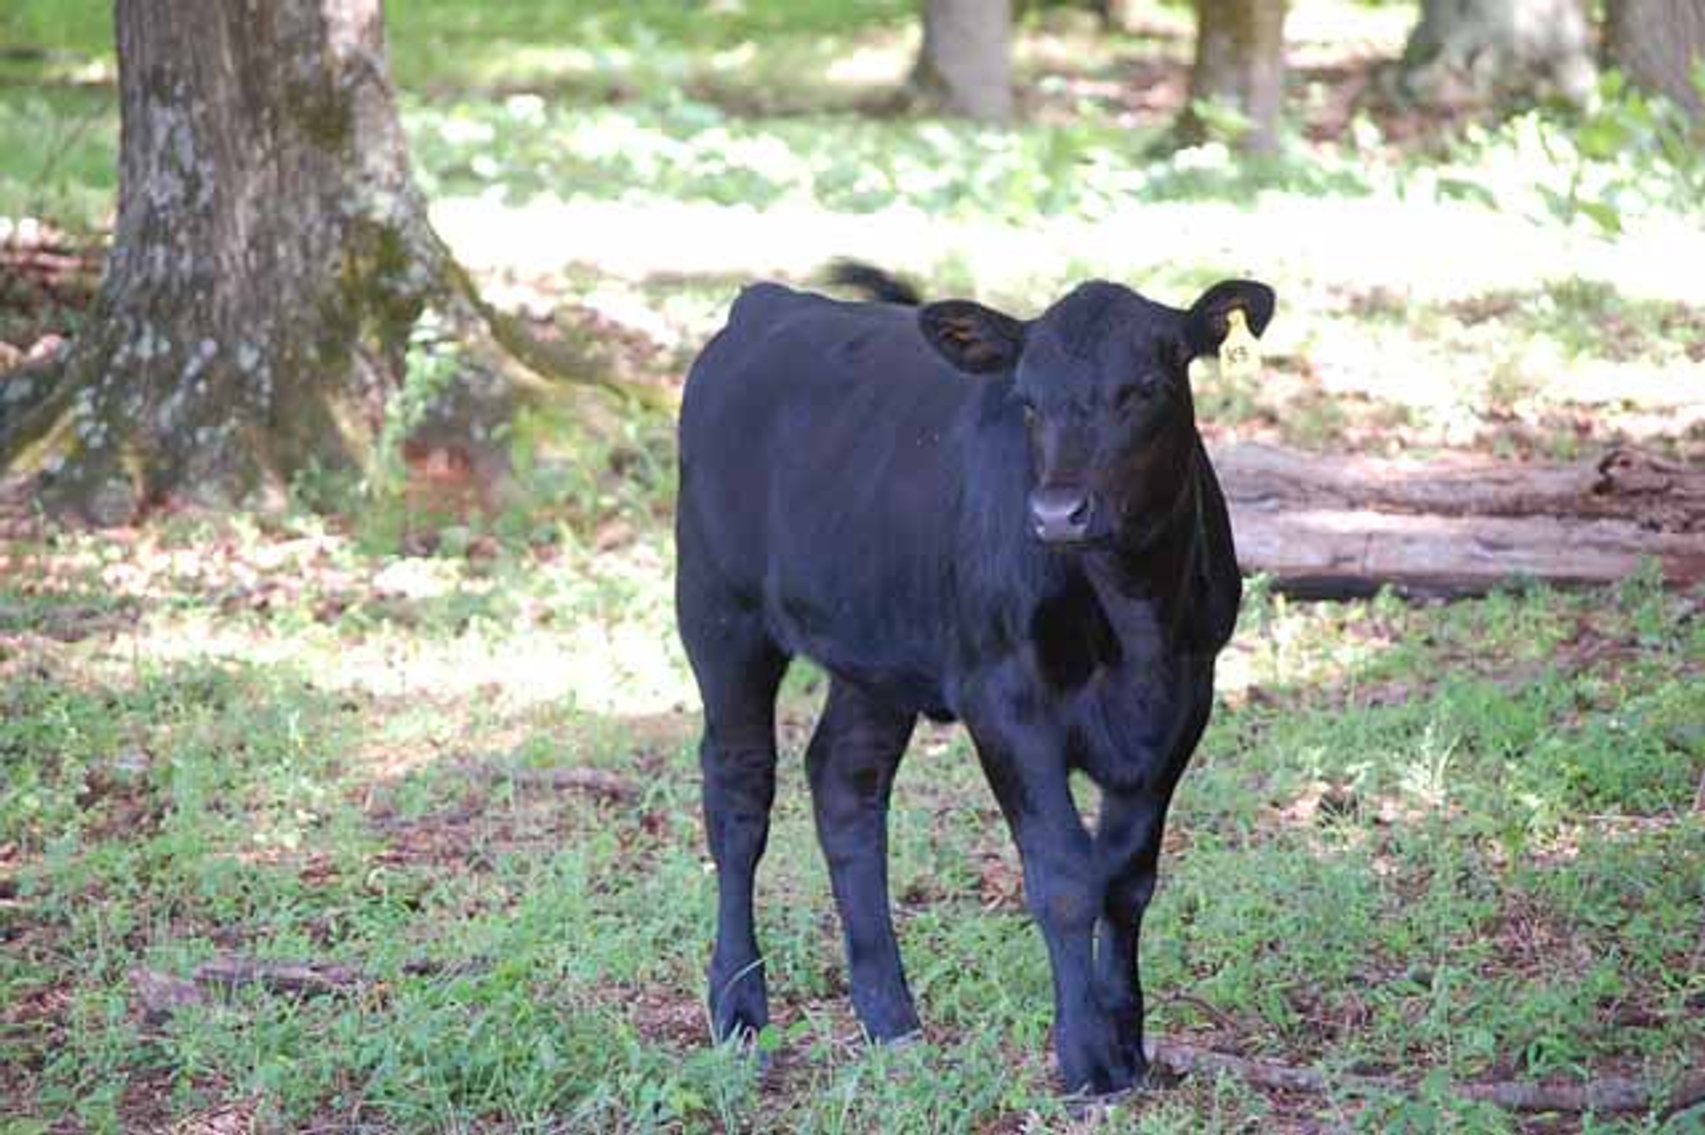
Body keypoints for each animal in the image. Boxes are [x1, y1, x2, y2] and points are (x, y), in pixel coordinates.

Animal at [674, 262, 1272, 1094]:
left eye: (1146, 388)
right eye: (1026, 400)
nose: (1055, 512)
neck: (1135, 618)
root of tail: (767, 302)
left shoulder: (1186, 700)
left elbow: (1127, 878)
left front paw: (1127, 1044)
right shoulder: (1005, 701)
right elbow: (1065, 875)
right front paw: (1086, 1057)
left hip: (877, 650)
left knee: (844, 783)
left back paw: (889, 1015)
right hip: (718, 612)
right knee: (737, 795)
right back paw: (737, 1005)